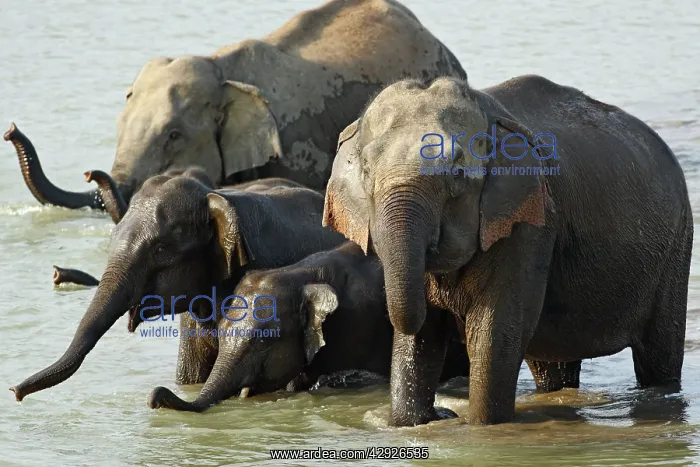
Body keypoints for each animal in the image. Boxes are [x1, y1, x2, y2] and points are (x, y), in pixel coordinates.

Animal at [322, 75, 693, 426]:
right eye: (366, 171)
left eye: (457, 173)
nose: (445, 412)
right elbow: (420, 336)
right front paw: (411, 423)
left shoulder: (530, 223)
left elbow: (493, 328)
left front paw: (482, 428)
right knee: (551, 365)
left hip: (676, 247)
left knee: (659, 354)